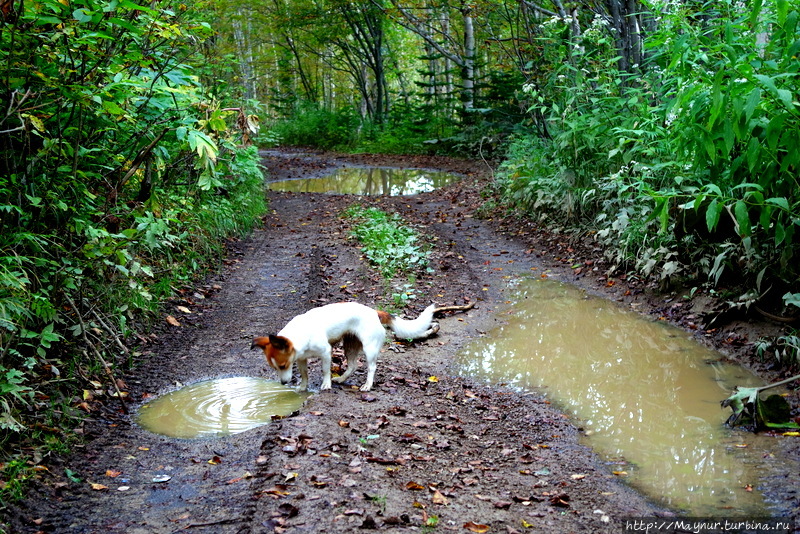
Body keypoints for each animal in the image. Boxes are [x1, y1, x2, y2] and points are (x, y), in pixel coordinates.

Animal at [250, 304, 438, 396]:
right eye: (275, 368)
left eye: (283, 366)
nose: (283, 383)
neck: (301, 334)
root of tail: (375, 312)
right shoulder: (302, 359)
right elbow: (304, 374)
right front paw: (302, 387)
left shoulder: (326, 352)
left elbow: (325, 370)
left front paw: (326, 384)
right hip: (350, 345)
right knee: (353, 365)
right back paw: (341, 379)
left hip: (369, 348)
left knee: (371, 367)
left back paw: (367, 385)